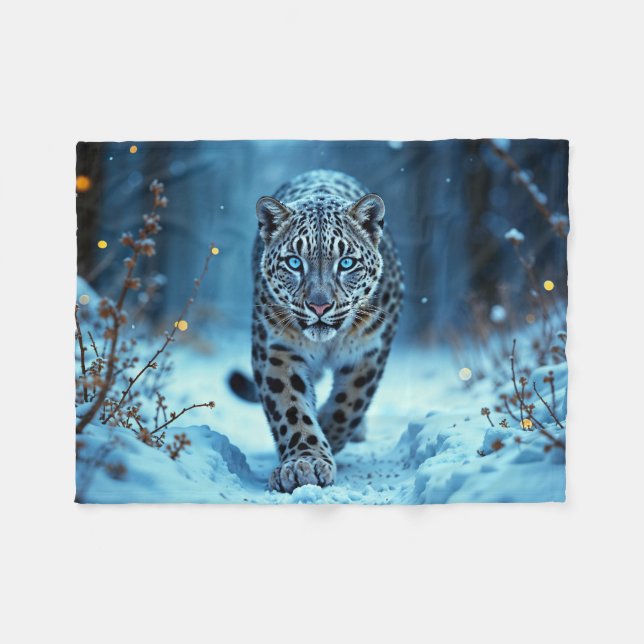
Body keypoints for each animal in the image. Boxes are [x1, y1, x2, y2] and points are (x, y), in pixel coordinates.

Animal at [230, 169, 404, 493]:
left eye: (346, 263)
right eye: (294, 262)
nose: (319, 306)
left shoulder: (369, 352)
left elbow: (348, 406)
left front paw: (327, 436)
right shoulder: (277, 351)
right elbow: (290, 408)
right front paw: (304, 462)